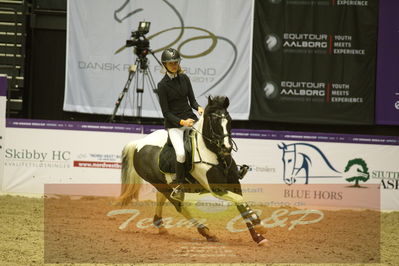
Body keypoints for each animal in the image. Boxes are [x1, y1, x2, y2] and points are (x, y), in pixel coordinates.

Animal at [117, 95, 270, 245]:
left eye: (230, 120)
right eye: (214, 120)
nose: (226, 147)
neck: (215, 155)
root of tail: (138, 143)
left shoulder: (234, 184)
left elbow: (241, 204)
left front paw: (258, 237)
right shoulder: (216, 189)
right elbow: (239, 200)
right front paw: (259, 224)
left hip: (166, 184)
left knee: (161, 198)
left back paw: (160, 226)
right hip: (160, 185)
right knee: (179, 206)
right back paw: (206, 232)